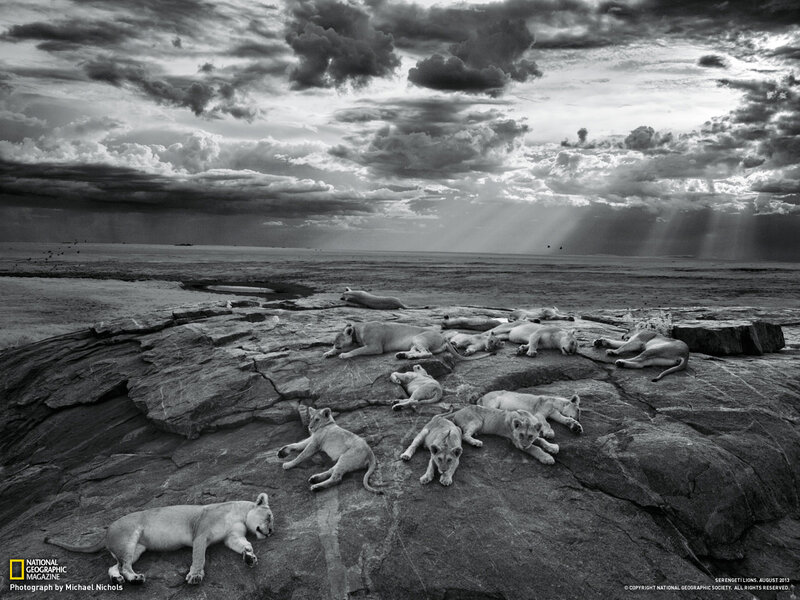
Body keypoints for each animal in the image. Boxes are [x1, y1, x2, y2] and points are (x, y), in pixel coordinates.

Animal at [44, 493, 274, 585]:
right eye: (270, 517)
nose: (271, 532)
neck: (239, 513)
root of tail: (107, 531)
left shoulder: (231, 536)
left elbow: (244, 544)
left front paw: (250, 557)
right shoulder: (201, 533)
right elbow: (199, 557)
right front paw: (195, 576)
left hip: (136, 549)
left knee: (115, 566)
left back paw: (118, 579)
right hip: (129, 537)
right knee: (125, 566)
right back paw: (135, 579)